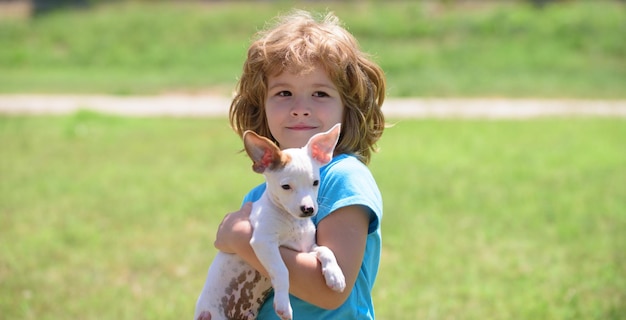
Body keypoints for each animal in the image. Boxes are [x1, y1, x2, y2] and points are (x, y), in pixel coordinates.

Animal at [194, 124, 344, 320]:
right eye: (286, 187)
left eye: (315, 183)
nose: (308, 209)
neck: (293, 222)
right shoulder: (263, 242)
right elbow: (281, 270)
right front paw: (283, 305)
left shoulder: (307, 248)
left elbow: (326, 250)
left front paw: (335, 275)